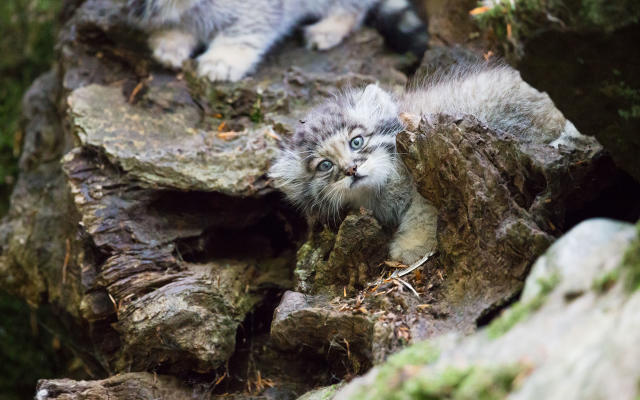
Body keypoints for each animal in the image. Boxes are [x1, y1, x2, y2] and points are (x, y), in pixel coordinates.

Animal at [268, 63, 588, 266]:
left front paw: (413, 245)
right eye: (324, 166)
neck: (383, 187)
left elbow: (424, 212)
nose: (351, 170)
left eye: (356, 142)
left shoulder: (430, 177)